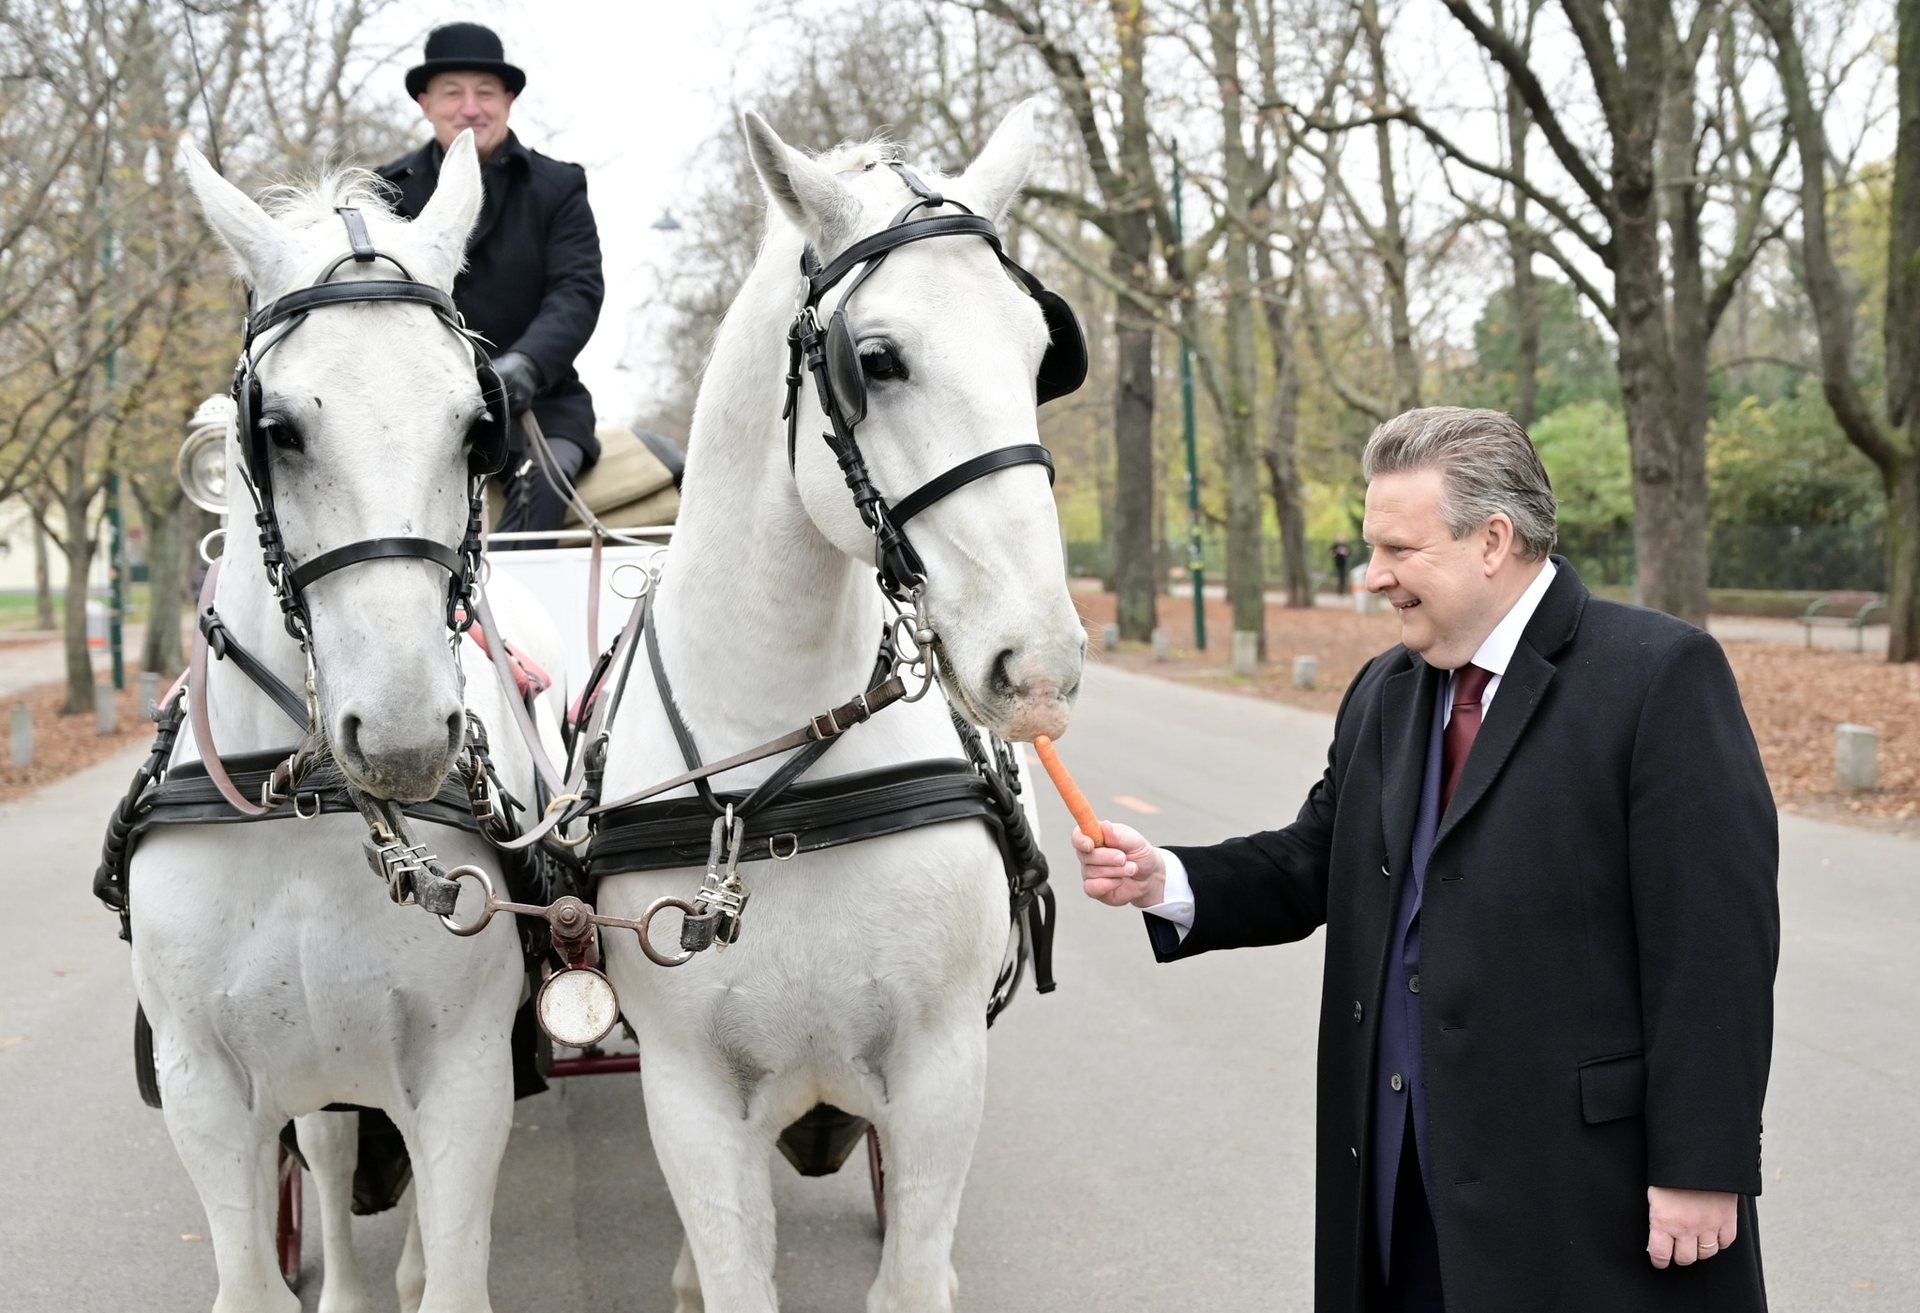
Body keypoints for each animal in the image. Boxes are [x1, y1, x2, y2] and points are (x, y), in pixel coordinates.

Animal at [129, 133, 556, 1313]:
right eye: (277, 429)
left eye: (476, 426)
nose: (406, 737)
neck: (310, 804)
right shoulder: (201, 1084)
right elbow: (253, 1273)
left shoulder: (466, 1072)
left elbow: (455, 1267)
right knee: (323, 1143)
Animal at [591, 105, 1090, 1313]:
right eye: (876, 360)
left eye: (1038, 351)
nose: (1041, 662)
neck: (783, 784)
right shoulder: (686, 1094)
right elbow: (734, 1270)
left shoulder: (943, 1068)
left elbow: (911, 1277)